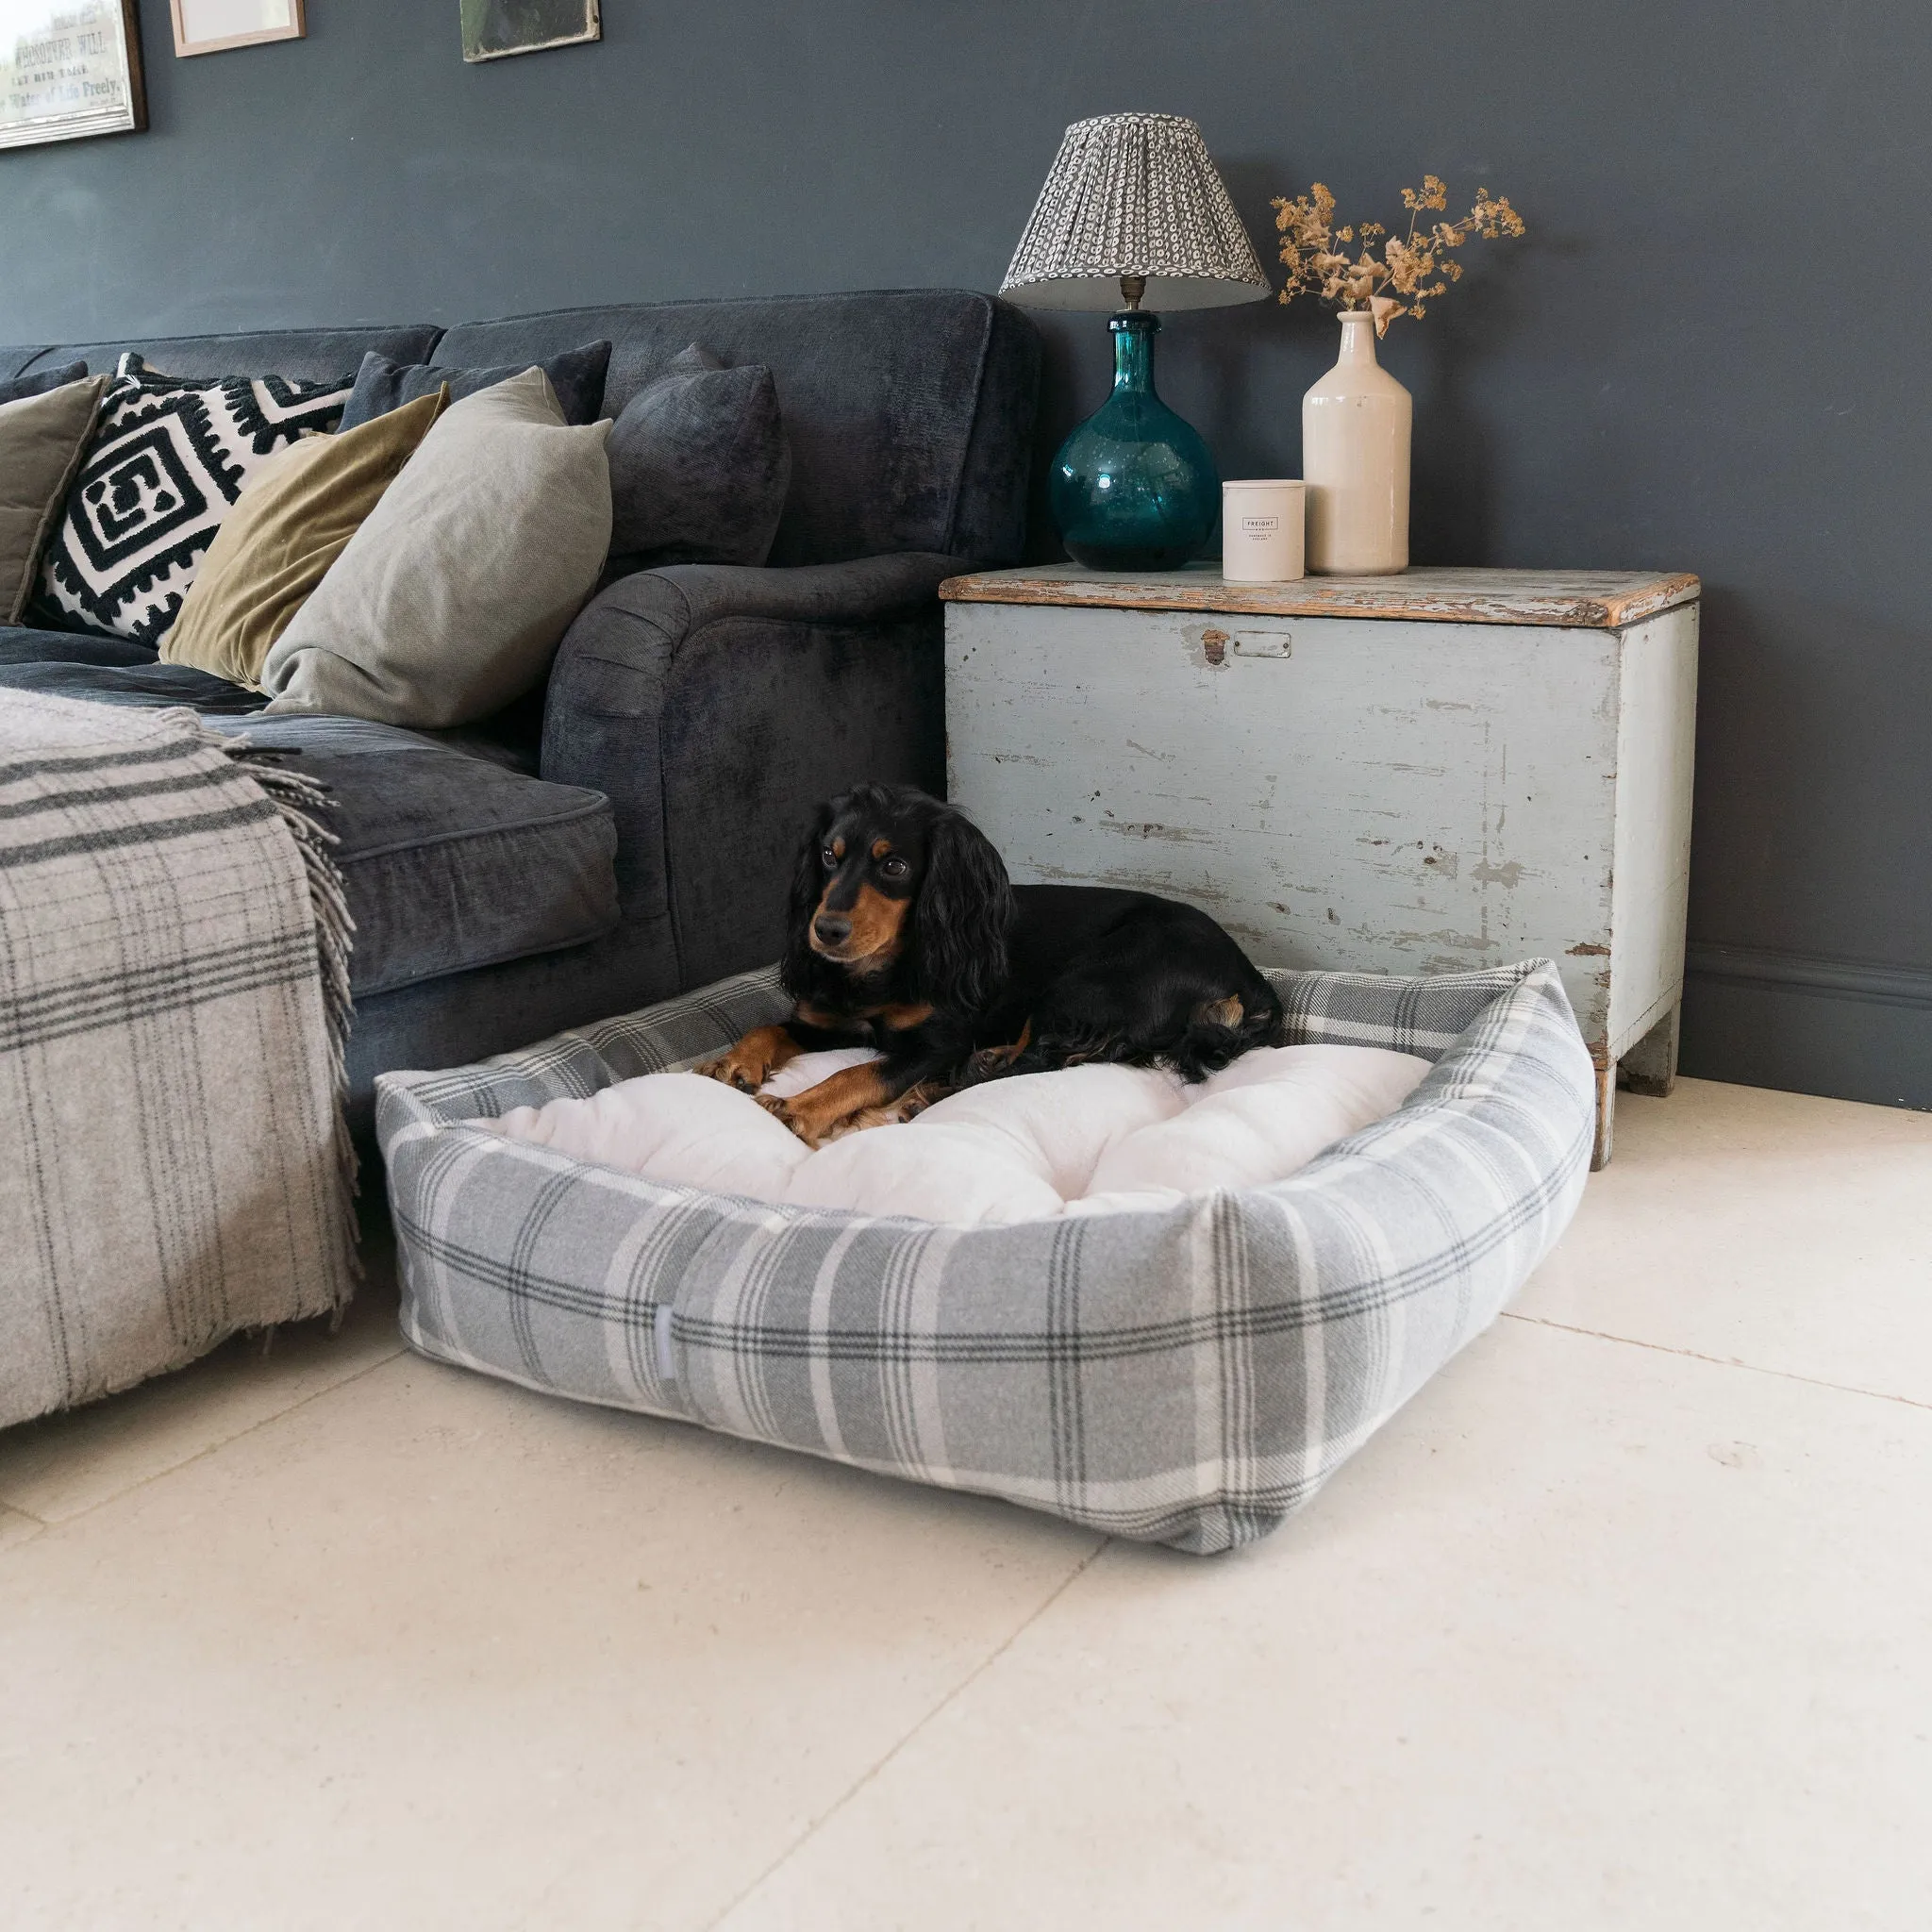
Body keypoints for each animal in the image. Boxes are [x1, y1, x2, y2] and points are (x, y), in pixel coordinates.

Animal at [699, 784, 1282, 1136]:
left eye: (895, 865)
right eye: (827, 855)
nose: (826, 931)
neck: (887, 967)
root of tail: (1246, 972)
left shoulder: (937, 1042)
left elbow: (861, 1072)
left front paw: (799, 1108)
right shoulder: (830, 1021)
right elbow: (771, 1027)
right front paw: (734, 1062)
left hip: (1089, 980)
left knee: (1034, 1061)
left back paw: (933, 1092)